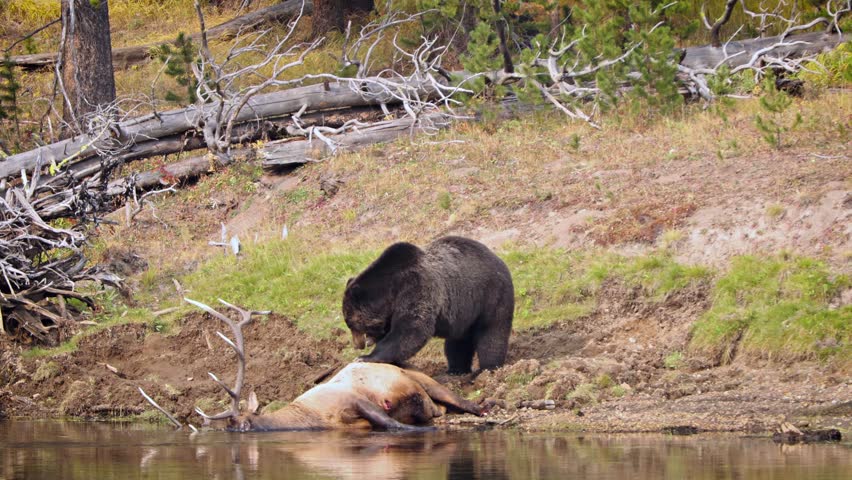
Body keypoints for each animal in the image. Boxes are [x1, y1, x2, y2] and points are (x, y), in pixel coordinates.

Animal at [141, 298, 483, 432]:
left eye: (242, 425)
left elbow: (392, 425)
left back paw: (484, 407)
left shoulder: (353, 399)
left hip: (421, 378)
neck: (313, 417)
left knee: (460, 399)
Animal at [342, 236, 514, 374]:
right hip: (465, 313)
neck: (391, 289)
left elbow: (411, 329)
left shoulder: (416, 286)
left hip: (491, 296)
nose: (358, 345)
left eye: (352, 325)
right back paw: (456, 369)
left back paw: (488, 368)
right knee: (457, 342)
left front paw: (365, 357)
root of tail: (499, 259)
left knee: (491, 333)